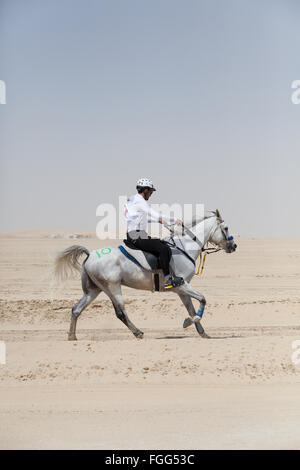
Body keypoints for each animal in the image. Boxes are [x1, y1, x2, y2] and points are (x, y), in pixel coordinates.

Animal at [54, 209, 237, 338]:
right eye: (226, 228)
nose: (233, 246)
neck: (184, 247)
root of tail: (90, 253)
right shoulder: (181, 285)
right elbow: (203, 299)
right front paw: (189, 323)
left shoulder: (182, 291)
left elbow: (192, 308)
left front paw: (202, 332)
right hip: (112, 287)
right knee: (120, 312)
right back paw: (137, 332)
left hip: (94, 290)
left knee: (76, 309)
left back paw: (72, 336)